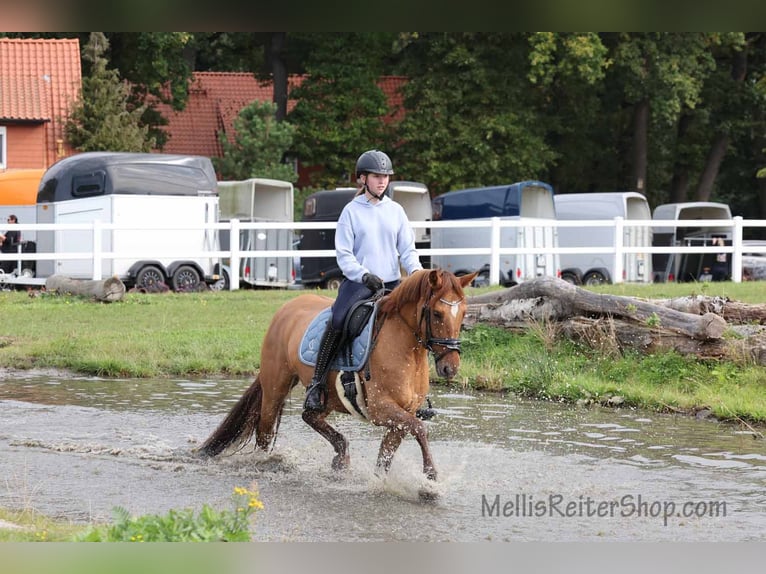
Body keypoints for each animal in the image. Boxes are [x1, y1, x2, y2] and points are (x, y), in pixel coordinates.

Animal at [199, 268, 477, 492]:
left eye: (463, 313)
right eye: (438, 314)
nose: (450, 368)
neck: (405, 349)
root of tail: (287, 308)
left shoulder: (401, 415)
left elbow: (386, 455)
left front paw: (381, 481)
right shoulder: (381, 409)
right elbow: (420, 428)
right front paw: (430, 480)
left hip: (328, 396)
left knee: (309, 415)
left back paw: (341, 457)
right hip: (275, 389)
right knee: (265, 434)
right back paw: (267, 464)